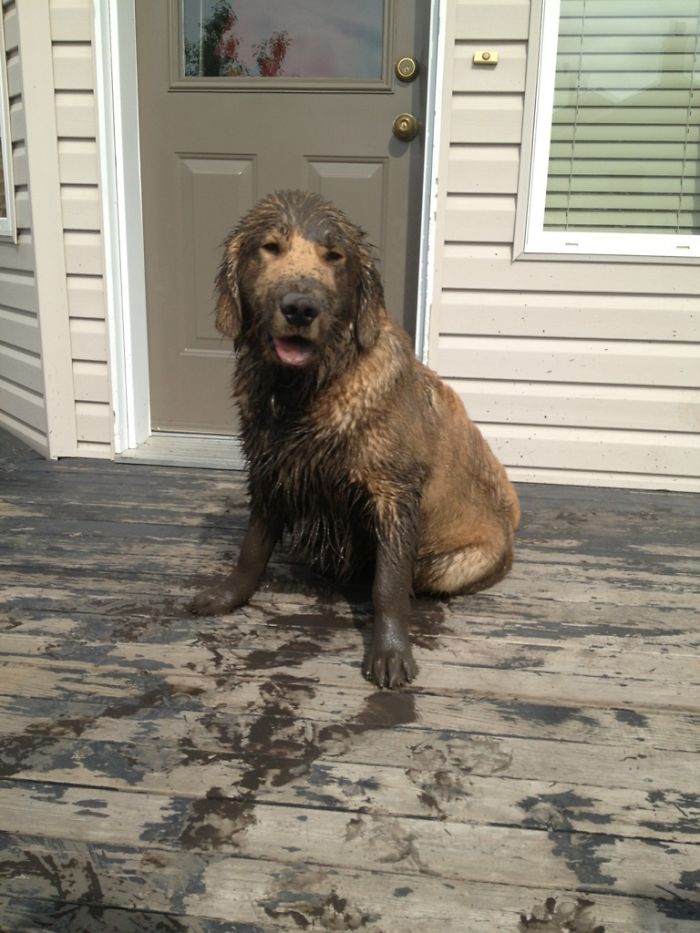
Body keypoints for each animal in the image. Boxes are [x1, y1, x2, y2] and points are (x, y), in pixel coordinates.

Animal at [190, 189, 520, 688]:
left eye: (334, 255)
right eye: (269, 247)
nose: (300, 308)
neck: (306, 389)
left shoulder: (394, 491)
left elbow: (389, 584)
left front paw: (390, 651)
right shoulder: (271, 469)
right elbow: (253, 549)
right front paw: (228, 595)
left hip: (463, 559)